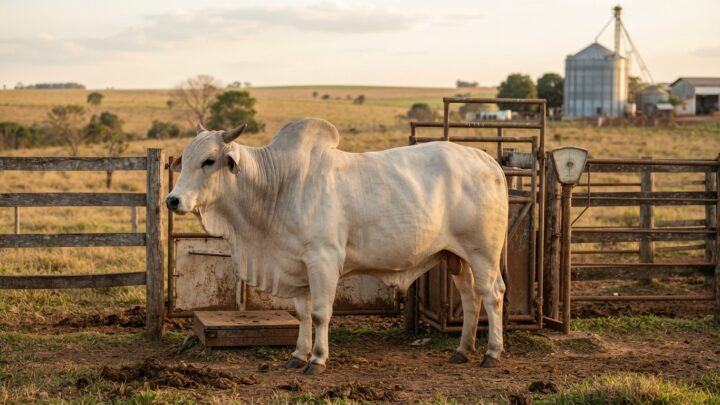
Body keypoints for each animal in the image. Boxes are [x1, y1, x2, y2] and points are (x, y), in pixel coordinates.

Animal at [166, 118, 509, 375]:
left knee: (492, 295)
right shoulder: (297, 265)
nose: (173, 200)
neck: (279, 185)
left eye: (209, 161)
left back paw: (492, 353)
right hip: (456, 257)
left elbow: (320, 313)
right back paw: (462, 350)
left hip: (483, 254)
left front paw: (317, 359)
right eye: (185, 160)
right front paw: (298, 356)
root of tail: (488, 161)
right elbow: (302, 314)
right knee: (470, 298)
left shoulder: (323, 260)